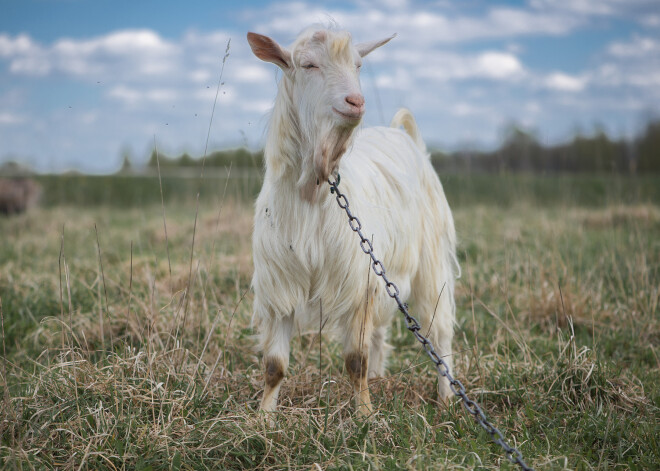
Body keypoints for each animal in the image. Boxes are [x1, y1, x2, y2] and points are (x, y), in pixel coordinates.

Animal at [248, 25, 458, 416]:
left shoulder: (358, 281)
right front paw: (263, 416)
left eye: (358, 64)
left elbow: (355, 359)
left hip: (429, 260)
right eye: (308, 64)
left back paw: (447, 398)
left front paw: (364, 415)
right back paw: (379, 378)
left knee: (440, 332)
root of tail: (402, 134)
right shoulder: (279, 281)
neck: (314, 193)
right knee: (380, 331)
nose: (355, 101)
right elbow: (274, 365)